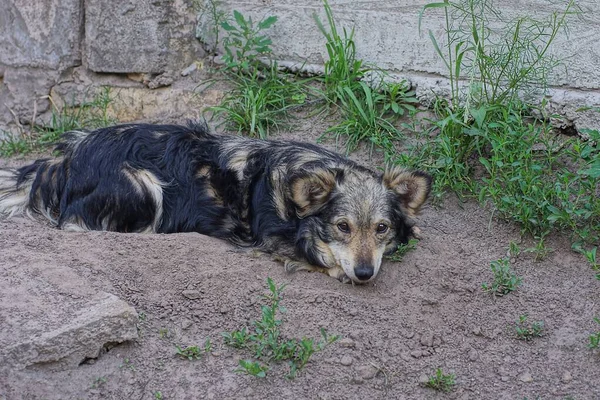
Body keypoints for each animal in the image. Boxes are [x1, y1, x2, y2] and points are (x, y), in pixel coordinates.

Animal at [0, 122, 432, 284]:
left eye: (382, 228)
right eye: (343, 227)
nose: (365, 273)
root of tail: (63, 158)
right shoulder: (275, 239)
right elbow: (317, 256)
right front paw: (336, 267)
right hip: (142, 185)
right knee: (77, 224)